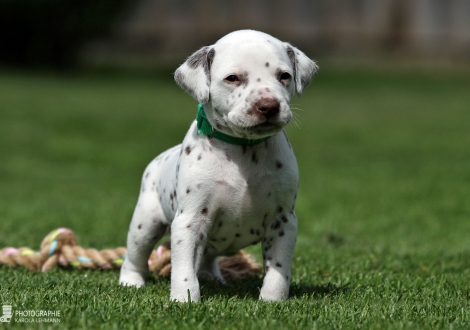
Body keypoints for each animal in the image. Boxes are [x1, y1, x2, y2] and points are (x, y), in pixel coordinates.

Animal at [119, 29, 318, 302]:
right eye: (232, 78)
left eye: (284, 76)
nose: (269, 106)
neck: (243, 148)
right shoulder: (190, 220)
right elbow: (183, 268)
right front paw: (184, 300)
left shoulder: (283, 221)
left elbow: (278, 268)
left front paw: (272, 300)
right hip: (145, 223)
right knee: (135, 256)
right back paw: (131, 281)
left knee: (207, 256)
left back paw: (211, 276)